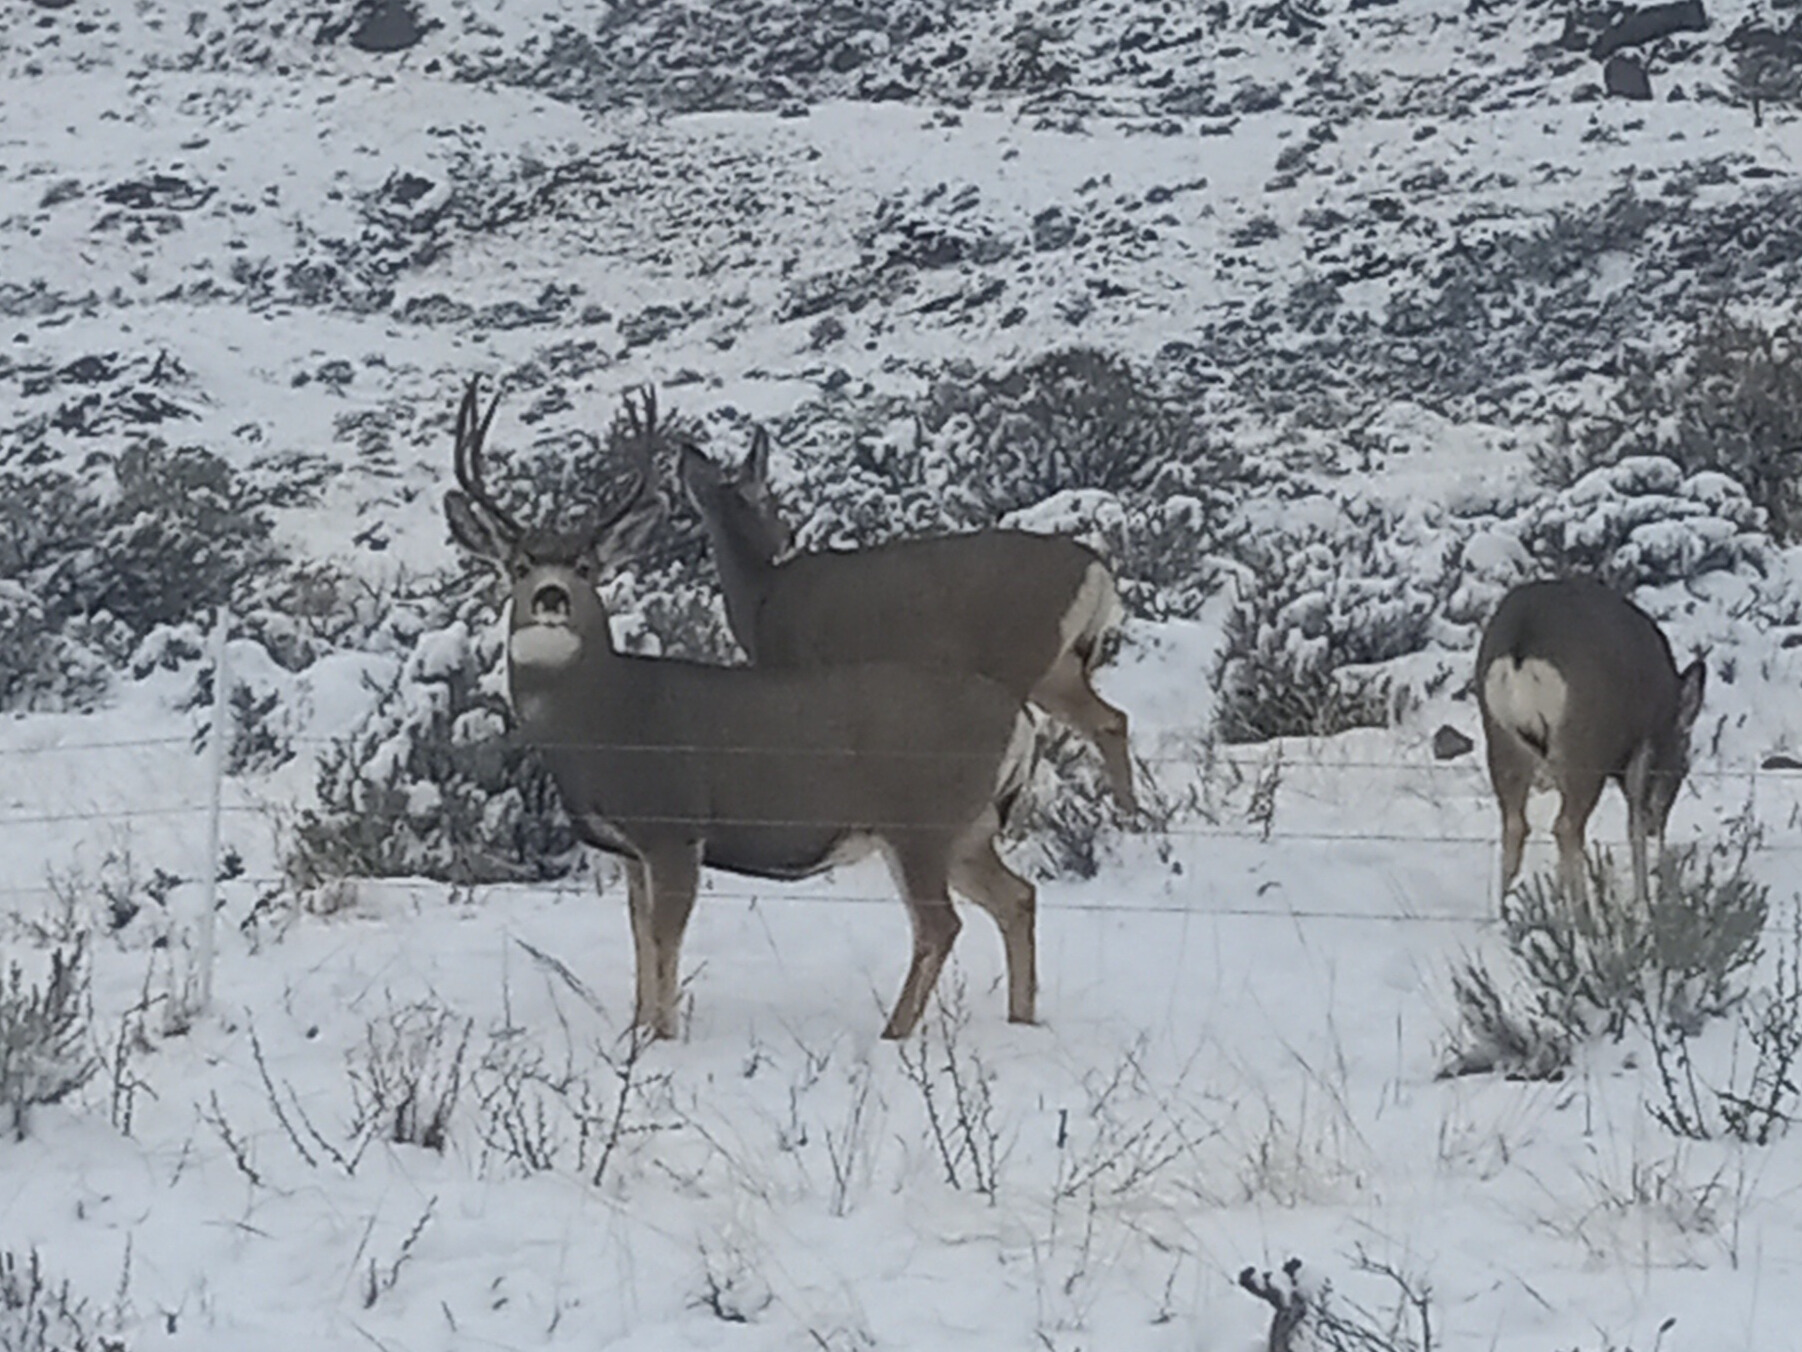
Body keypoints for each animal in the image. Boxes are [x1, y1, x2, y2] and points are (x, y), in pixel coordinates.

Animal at [439, 382, 1045, 1045]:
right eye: (520, 565)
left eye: (584, 566)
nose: (551, 597)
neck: (607, 717)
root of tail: (1021, 718)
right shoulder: (628, 849)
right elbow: (639, 941)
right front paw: (635, 1030)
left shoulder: (674, 826)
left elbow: (664, 940)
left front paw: (662, 1038)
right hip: (968, 828)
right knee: (1018, 898)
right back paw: (1022, 1020)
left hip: (921, 823)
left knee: (942, 925)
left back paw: (894, 1033)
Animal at [681, 429, 1131, 811]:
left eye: (770, 498)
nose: (787, 536)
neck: (762, 596)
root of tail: (1097, 571)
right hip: (1058, 666)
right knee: (1112, 720)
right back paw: (1132, 815)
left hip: (1017, 653)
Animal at [1470, 580, 1708, 912]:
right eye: (1683, 767)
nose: (1656, 825)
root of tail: (1522, 647)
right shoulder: (1641, 744)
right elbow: (1633, 822)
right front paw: (1644, 903)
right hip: (1585, 745)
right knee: (1566, 826)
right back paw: (1582, 912)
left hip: (1501, 737)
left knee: (1516, 824)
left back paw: (1509, 912)